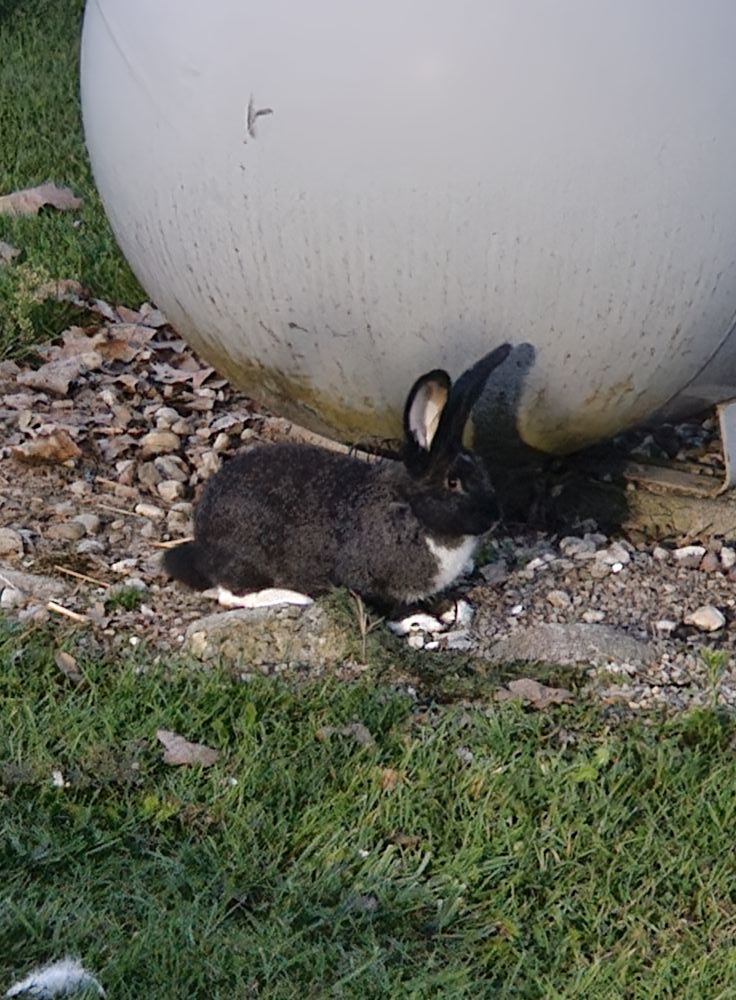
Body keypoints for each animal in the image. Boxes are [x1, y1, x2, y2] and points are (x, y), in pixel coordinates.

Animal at [163, 343, 511, 614]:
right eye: (453, 483)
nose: (494, 518)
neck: (411, 509)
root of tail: (202, 542)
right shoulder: (365, 579)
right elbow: (391, 607)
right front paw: (424, 618)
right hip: (248, 557)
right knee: (231, 594)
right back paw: (295, 597)